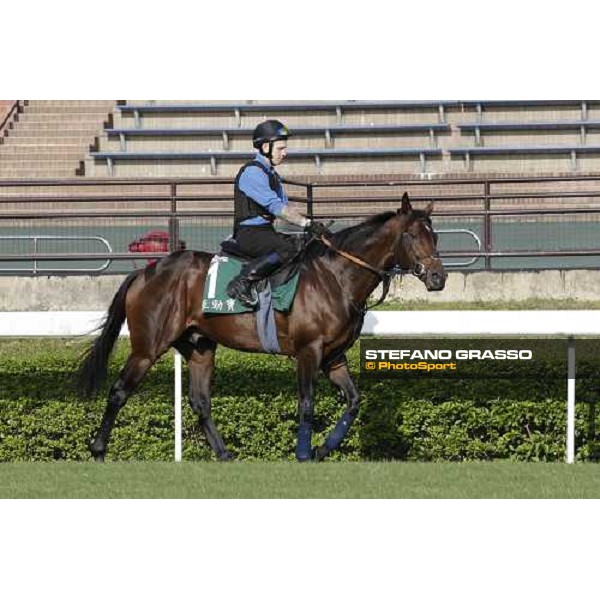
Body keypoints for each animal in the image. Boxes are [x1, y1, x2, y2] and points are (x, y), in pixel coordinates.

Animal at [77, 192, 446, 460]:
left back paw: (225, 455)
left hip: (199, 347)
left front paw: (323, 449)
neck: (335, 278)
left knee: (200, 402)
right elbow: (307, 404)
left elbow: (354, 402)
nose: (438, 278)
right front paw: (303, 453)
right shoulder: (308, 351)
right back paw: (98, 450)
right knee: (119, 391)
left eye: (435, 236)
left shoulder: (333, 356)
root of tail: (146, 271)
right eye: (413, 235)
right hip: (147, 347)